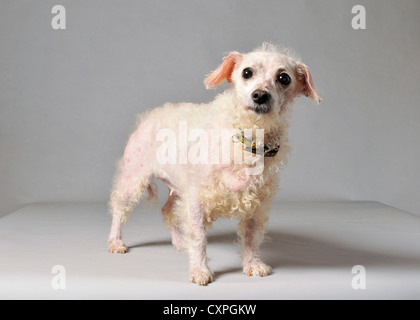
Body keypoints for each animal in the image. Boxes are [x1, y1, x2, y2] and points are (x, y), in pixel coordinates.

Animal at [106, 43, 320, 284]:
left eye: (284, 78)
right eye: (247, 72)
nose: (260, 95)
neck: (247, 137)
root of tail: (147, 116)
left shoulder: (256, 205)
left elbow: (251, 237)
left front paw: (253, 264)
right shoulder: (196, 201)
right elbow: (199, 237)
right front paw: (200, 270)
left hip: (179, 190)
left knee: (167, 211)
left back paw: (179, 243)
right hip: (133, 180)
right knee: (118, 208)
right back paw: (115, 241)